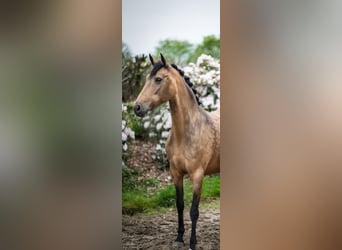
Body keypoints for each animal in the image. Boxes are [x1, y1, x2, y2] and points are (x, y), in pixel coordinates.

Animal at [134, 53, 219, 249]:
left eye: (158, 79)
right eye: (147, 79)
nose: (137, 107)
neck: (186, 133)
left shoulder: (197, 175)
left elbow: (194, 210)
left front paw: (192, 243)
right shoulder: (176, 173)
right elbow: (179, 204)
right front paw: (179, 237)